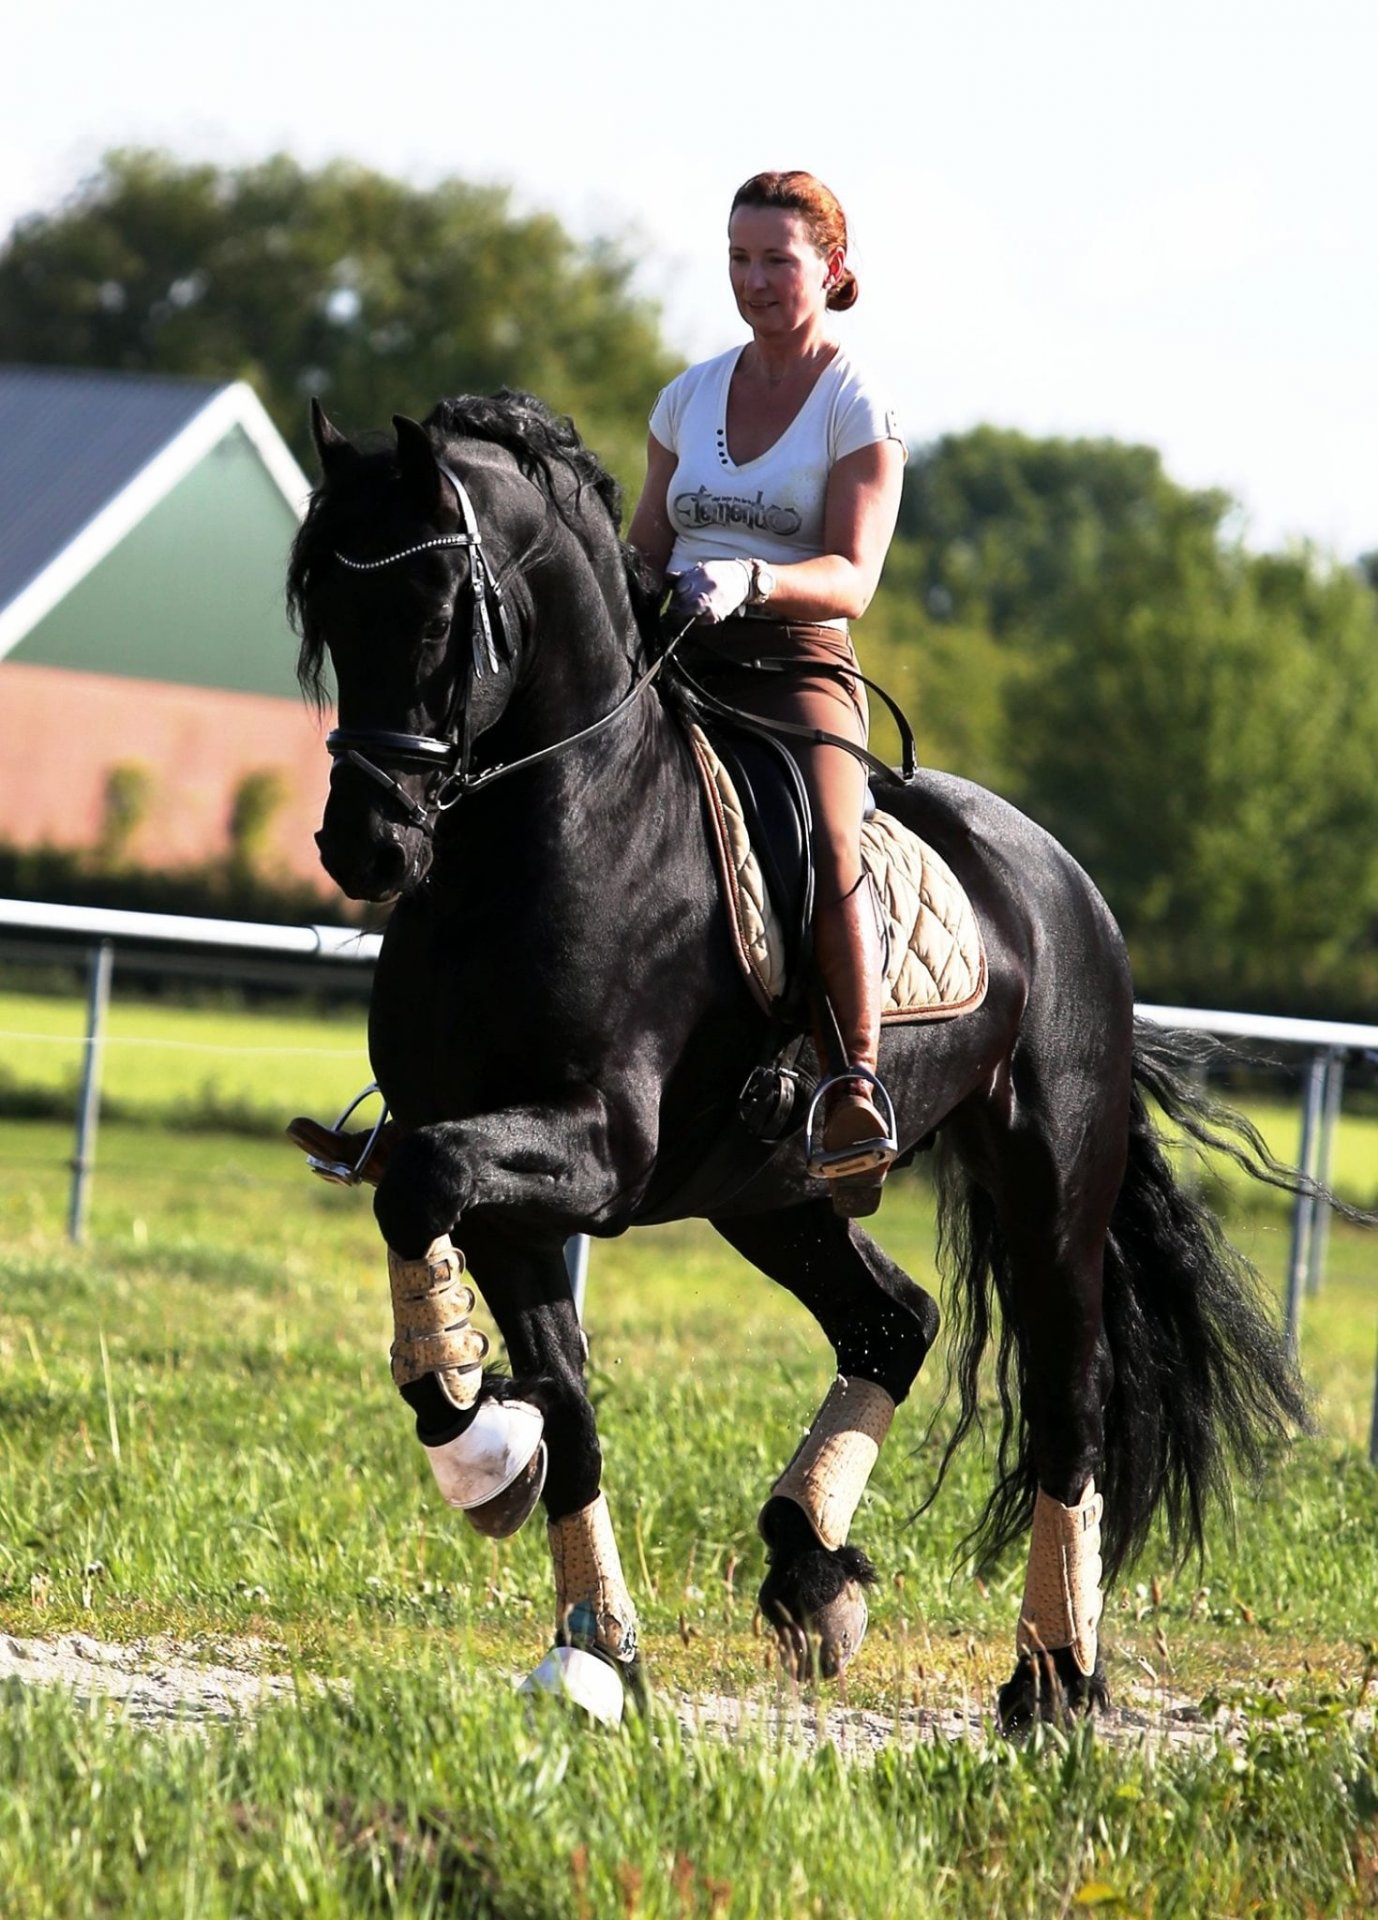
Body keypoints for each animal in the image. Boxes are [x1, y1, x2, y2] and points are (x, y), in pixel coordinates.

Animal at [285, 385, 1312, 1728]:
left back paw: (1052, 1679)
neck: (529, 847)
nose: (365, 844)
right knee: (895, 1321)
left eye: (437, 604)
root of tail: (1067, 887)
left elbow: (422, 1191)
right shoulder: (504, 1179)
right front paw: (586, 1634)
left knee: (1066, 1405)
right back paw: (811, 1571)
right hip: (770, 1195)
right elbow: (556, 1379)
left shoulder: (595, 1150)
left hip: (1048, 1190)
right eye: (322, 605)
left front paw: (480, 1447)